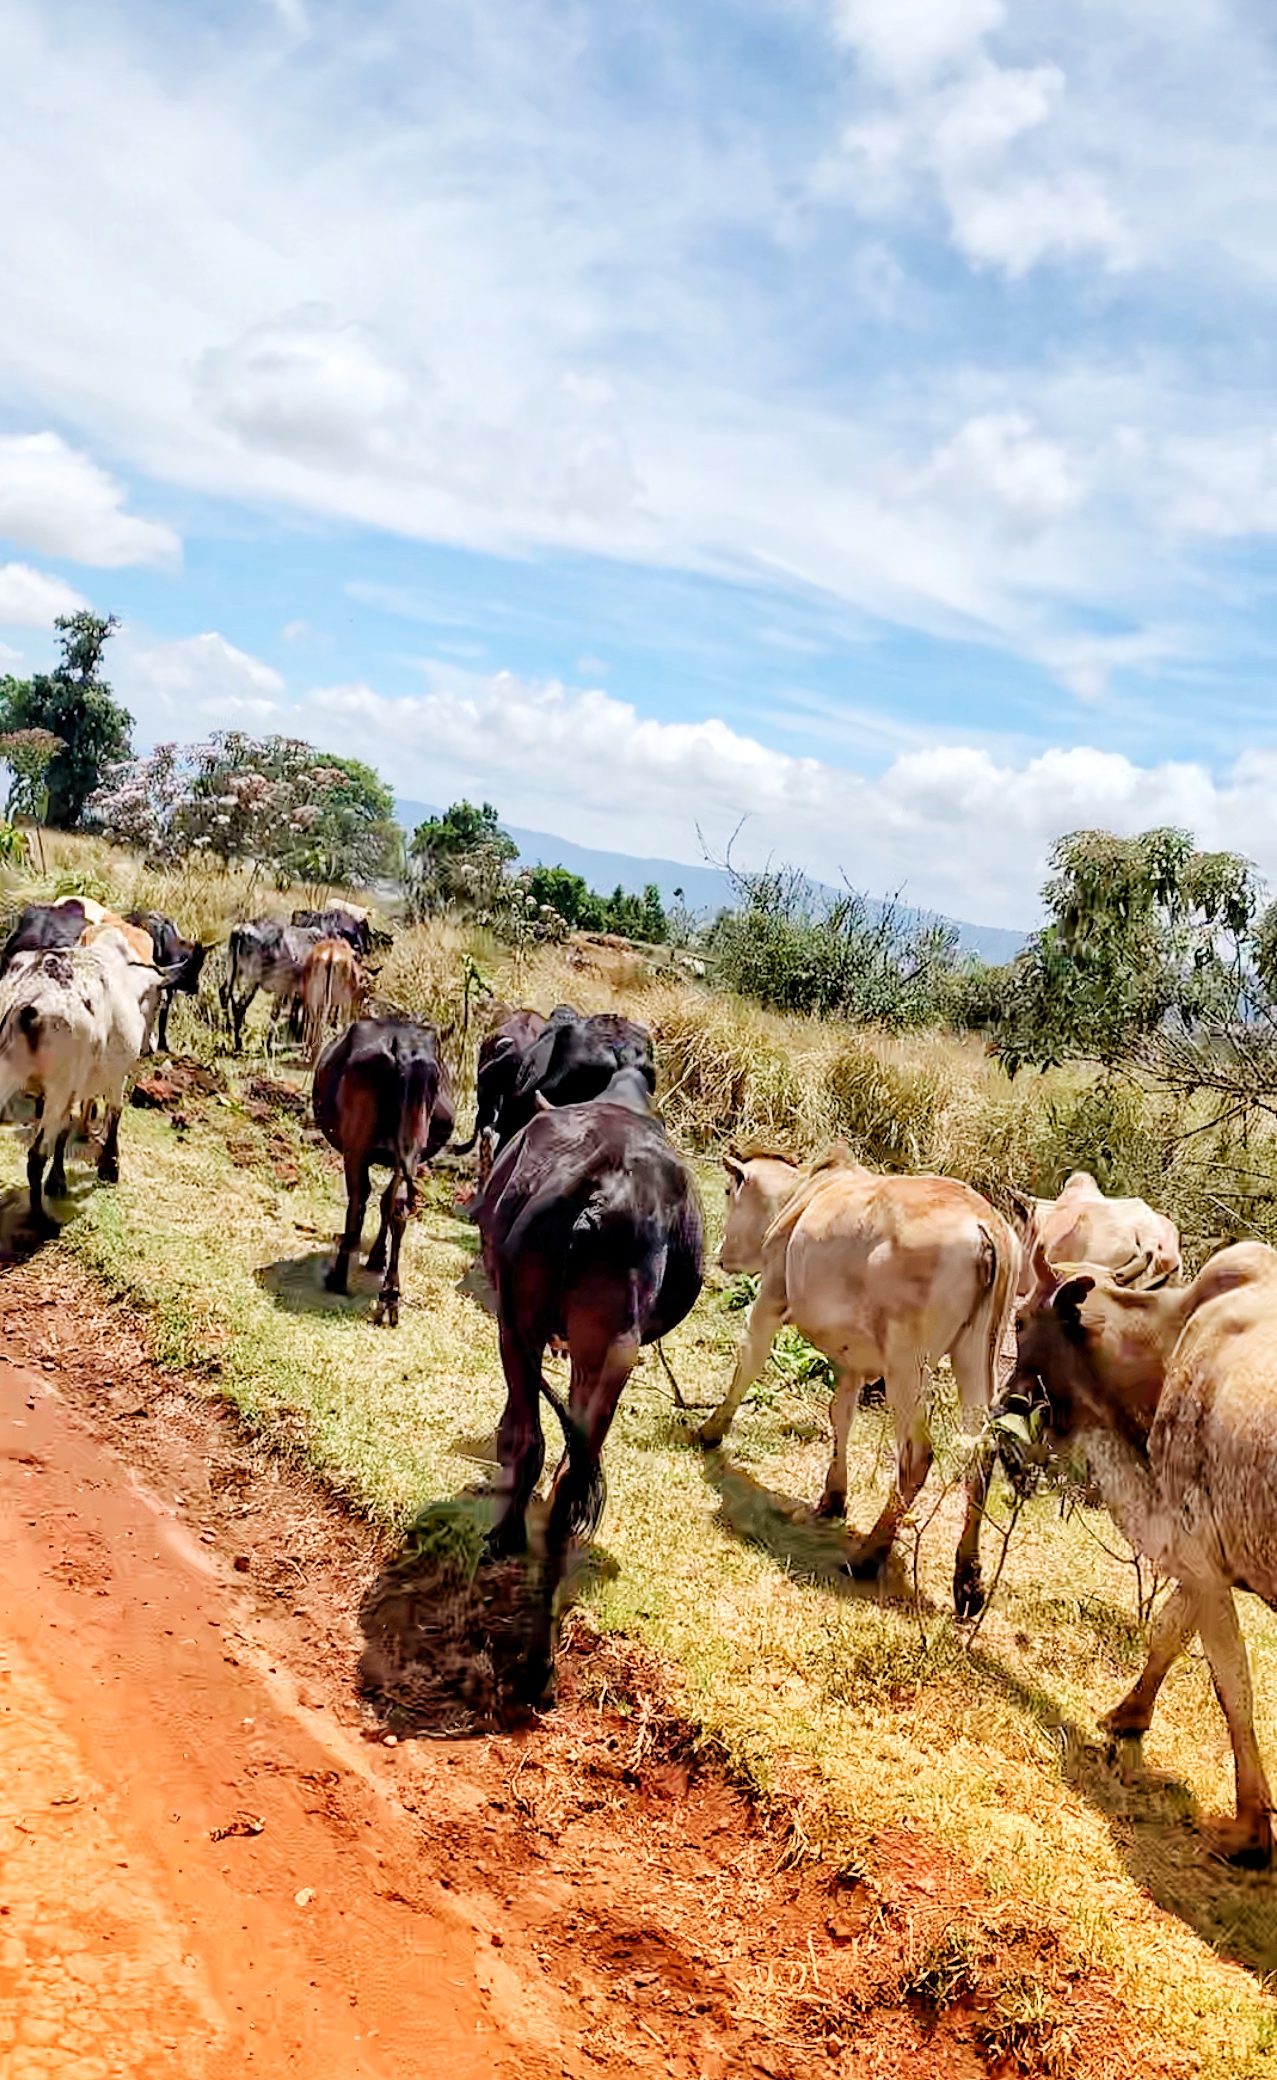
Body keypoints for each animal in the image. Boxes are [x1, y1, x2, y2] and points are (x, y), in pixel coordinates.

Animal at [0, 935, 161, 1223]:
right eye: (161, 1002)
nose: (151, 1046)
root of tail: (23, 996)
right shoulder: (115, 1076)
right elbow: (115, 1112)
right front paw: (110, 1166)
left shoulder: (73, 1089)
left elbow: (65, 1129)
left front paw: (58, 1181)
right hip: (57, 1086)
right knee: (35, 1156)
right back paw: (40, 1217)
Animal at [311, 1019, 457, 1331]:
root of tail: (403, 1046)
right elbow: (387, 1205)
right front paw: (378, 1258)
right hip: (412, 1148)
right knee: (396, 1206)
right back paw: (390, 1296)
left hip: (356, 1146)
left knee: (359, 1198)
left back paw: (339, 1278)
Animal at [707, 1148, 1027, 1614]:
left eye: (730, 1191)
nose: (720, 1253)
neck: (799, 1196)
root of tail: (986, 1227)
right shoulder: (853, 1359)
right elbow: (840, 1414)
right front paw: (833, 1496)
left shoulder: (771, 1297)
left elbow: (748, 1361)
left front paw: (710, 1430)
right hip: (977, 1353)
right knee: (981, 1451)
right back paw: (968, 1580)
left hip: (908, 1363)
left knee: (917, 1455)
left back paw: (870, 1555)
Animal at [1010, 1239, 1277, 1863]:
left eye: (1019, 1321)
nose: (1008, 1405)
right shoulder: (1202, 1555)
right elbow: (1169, 1631)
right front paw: (1127, 1715)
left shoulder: (1198, 1547)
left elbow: (1233, 1684)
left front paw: (1250, 1828)